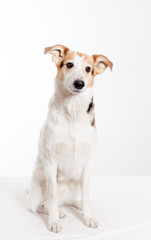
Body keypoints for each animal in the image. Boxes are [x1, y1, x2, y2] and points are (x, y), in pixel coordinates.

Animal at [27, 45, 112, 232]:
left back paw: (77, 205)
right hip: (39, 187)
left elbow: (86, 195)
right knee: (41, 205)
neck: (72, 112)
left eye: (88, 69)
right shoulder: (51, 162)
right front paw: (53, 221)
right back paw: (57, 211)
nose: (79, 84)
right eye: (69, 64)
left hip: (77, 183)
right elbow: (52, 198)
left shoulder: (87, 163)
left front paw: (88, 216)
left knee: (75, 198)